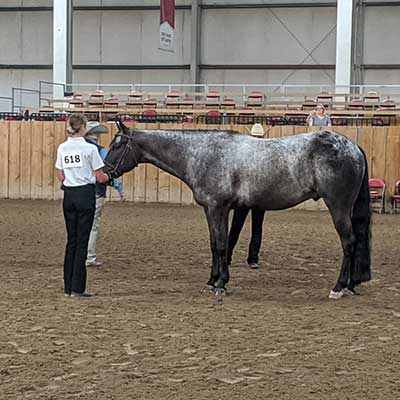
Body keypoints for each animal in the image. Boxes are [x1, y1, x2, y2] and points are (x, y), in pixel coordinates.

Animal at [104, 122, 372, 300]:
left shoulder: (218, 208)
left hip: (338, 207)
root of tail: (353, 147)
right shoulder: (212, 210)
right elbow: (214, 245)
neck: (202, 154)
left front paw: (221, 284)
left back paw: (338, 287)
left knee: (349, 242)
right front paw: (212, 281)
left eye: (118, 145)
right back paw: (350, 285)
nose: (104, 173)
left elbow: (222, 245)